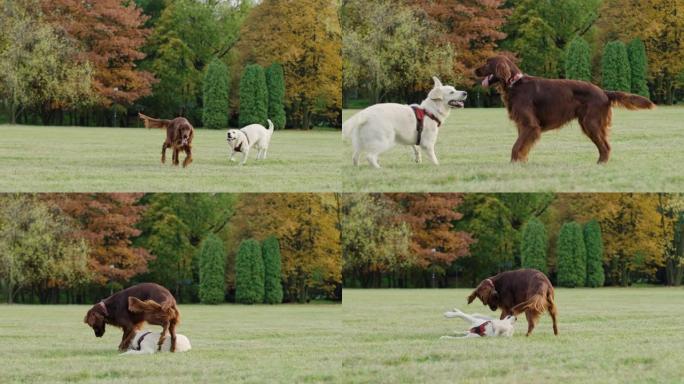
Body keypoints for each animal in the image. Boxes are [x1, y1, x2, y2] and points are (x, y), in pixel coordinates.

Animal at [472, 54, 656, 163]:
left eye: (487, 63)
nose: (474, 70)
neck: (515, 83)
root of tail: (603, 92)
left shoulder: (530, 125)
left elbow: (516, 146)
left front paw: (513, 164)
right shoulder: (523, 125)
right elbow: (521, 146)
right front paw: (521, 163)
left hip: (591, 123)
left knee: (605, 146)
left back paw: (600, 164)